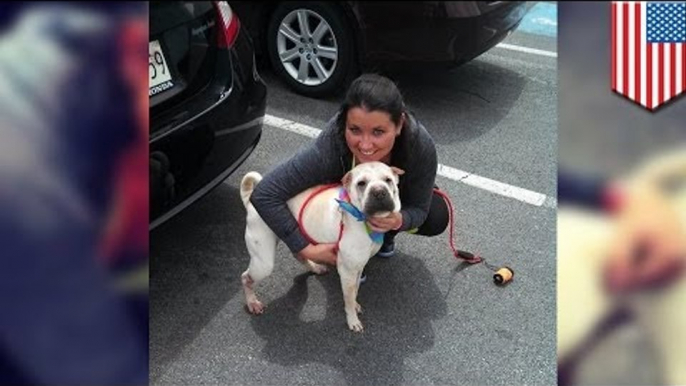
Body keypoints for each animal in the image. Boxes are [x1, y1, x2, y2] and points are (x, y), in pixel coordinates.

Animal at [241, 162, 406, 332]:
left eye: (388, 180)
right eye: (361, 183)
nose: (379, 192)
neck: (360, 217)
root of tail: (250, 200)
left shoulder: (358, 267)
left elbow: (355, 291)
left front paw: (355, 304)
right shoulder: (347, 272)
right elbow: (348, 298)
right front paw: (352, 319)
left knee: (298, 253)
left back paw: (316, 268)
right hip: (263, 263)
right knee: (246, 277)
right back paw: (252, 302)